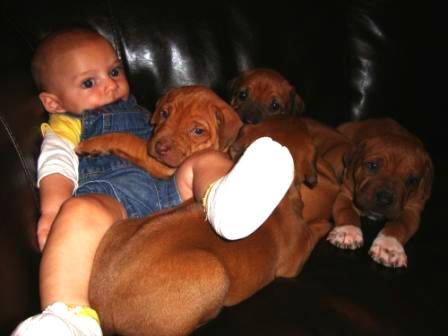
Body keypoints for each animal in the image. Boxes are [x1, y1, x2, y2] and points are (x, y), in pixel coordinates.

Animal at [77, 85, 245, 177]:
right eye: (164, 113)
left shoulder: (161, 165)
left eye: (198, 131)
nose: (160, 148)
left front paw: (91, 144)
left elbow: (125, 138)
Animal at [328, 118, 434, 268]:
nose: (384, 199)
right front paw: (348, 231)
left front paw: (389, 246)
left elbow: (399, 226)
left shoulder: (412, 210)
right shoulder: (346, 193)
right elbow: (346, 211)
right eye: (372, 166)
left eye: (412, 181)